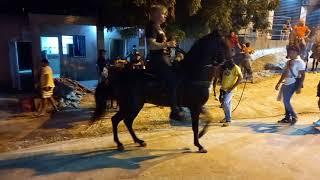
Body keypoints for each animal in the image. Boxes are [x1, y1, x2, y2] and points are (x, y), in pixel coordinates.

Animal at [92, 31, 230, 153]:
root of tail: (119, 76)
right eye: (222, 44)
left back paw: (139, 141)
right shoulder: (194, 107)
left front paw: (201, 136)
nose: (229, 64)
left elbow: (209, 118)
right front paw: (199, 145)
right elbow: (195, 126)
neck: (193, 73)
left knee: (127, 122)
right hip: (130, 106)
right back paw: (120, 144)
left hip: (135, 106)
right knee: (116, 120)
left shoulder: (197, 106)